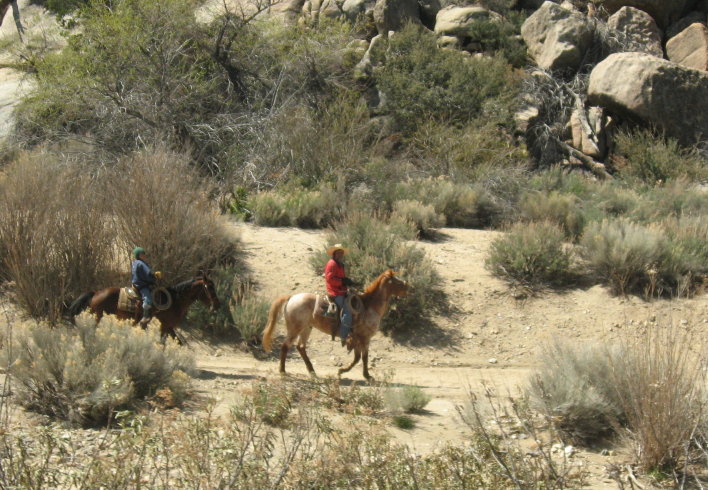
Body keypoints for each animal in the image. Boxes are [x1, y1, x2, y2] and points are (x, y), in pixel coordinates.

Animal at [68, 278, 221, 342]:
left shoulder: (169, 326)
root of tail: (96, 293)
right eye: (210, 288)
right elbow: (163, 342)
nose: (217, 305)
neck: (175, 300)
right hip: (97, 316)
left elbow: (178, 342)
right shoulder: (165, 325)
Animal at [262, 270, 410, 380]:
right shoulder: (364, 338)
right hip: (295, 328)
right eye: (396, 281)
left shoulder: (358, 339)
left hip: (306, 328)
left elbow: (358, 358)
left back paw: (312, 372)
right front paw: (365, 375)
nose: (409, 287)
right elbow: (363, 358)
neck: (370, 306)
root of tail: (291, 297)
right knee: (285, 346)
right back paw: (282, 371)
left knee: (301, 347)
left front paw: (344, 371)